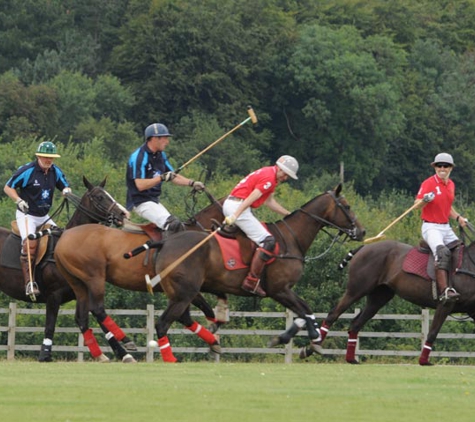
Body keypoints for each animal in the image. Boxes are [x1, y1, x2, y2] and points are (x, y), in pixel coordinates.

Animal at [0, 176, 129, 362]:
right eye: (99, 197)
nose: (123, 214)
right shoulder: (54, 295)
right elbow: (51, 325)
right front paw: (45, 354)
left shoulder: (82, 292)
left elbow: (90, 319)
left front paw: (122, 353)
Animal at [54, 191, 227, 362]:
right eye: (99, 197)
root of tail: (62, 239)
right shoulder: (187, 289)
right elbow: (205, 311)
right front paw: (214, 335)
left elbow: (190, 316)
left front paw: (214, 340)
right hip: (94, 278)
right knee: (97, 309)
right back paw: (126, 344)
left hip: (78, 284)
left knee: (82, 317)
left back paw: (103, 354)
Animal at [128, 185, 366, 362]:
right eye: (347, 206)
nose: (362, 231)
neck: (292, 239)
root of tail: (164, 242)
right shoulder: (279, 289)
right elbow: (306, 309)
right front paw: (313, 339)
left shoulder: (283, 291)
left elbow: (302, 313)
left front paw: (287, 339)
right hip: (184, 292)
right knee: (163, 324)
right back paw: (173, 359)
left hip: (179, 293)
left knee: (181, 318)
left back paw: (212, 339)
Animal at [302, 237, 475, 366]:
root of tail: (364, 247)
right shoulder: (446, 304)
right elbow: (433, 332)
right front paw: (423, 361)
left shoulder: (472, 310)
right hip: (356, 290)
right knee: (334, 314)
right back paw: (312, 348)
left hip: (379, 298)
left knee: (356, 323)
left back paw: (351, 359)